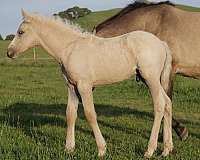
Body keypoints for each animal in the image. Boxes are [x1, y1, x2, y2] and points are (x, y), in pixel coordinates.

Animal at [7, 10, 173, 158]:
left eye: (21, 32)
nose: (9, 52)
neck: (70, 48)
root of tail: (162, 43)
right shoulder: (71, 87)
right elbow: (70, 114)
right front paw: (69, 148)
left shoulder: (84, 86)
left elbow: (90, 114)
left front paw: (101, 149)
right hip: (152, 80)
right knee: (167, 103)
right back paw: (166, 149)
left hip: (150, 79)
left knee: (159, 105)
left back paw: (150, 150)